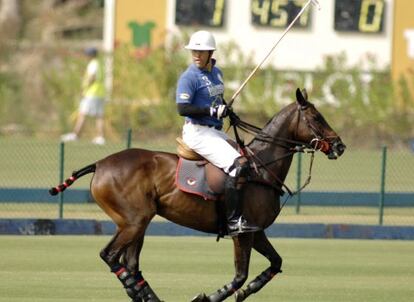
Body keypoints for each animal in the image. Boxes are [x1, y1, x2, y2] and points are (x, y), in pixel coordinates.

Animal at [49, 88, 346, 300]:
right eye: (317, 118)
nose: (340, 146)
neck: (261, 167)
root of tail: (99, 164)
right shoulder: (242, 232)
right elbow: (240, 274)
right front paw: (208, 297)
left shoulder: (256, 230)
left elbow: (275, 262)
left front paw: (246, 292)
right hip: (133, 221)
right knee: (110, 256)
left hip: (137, 222)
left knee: (130, 263)